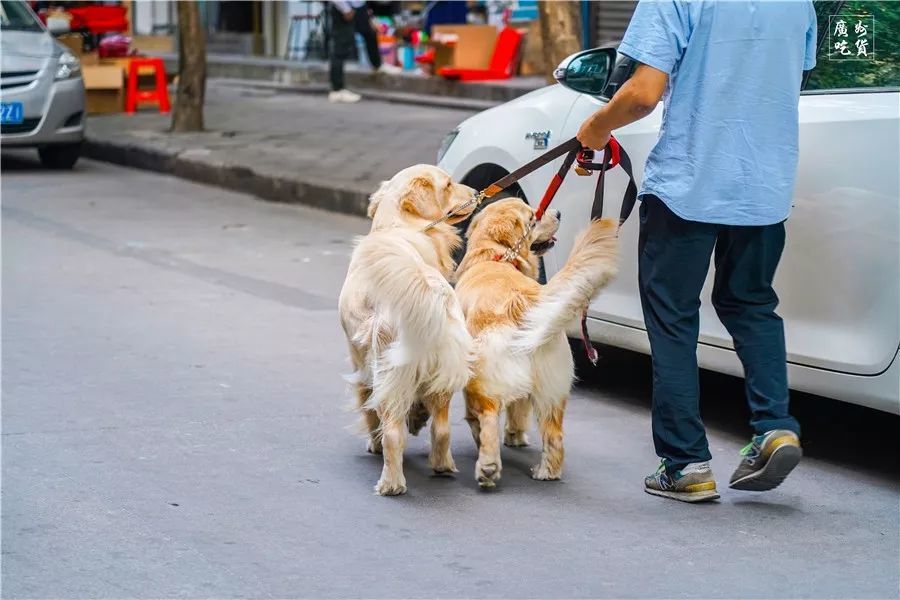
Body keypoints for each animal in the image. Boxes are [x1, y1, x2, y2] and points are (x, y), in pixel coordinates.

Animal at [338, 165, 478, 496]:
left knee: (392, 432)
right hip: (444, 373)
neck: (397, 227)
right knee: (442, 429)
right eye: (449, 184)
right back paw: (442, 465)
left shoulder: (360, 361)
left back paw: (391, 483)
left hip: (387, 368)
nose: (474, 193)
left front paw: (374, 444)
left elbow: (368, 408)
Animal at [458, 199, 620, 490]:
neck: (496, 256)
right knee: (555, 436)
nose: (558, 212)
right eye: (533, 217)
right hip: (551, 392)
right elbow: (518, 409)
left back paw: (487, 466)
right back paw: (547, 472)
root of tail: (524, 301)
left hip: (483, 377)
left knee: (488, 416)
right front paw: (515, 435)